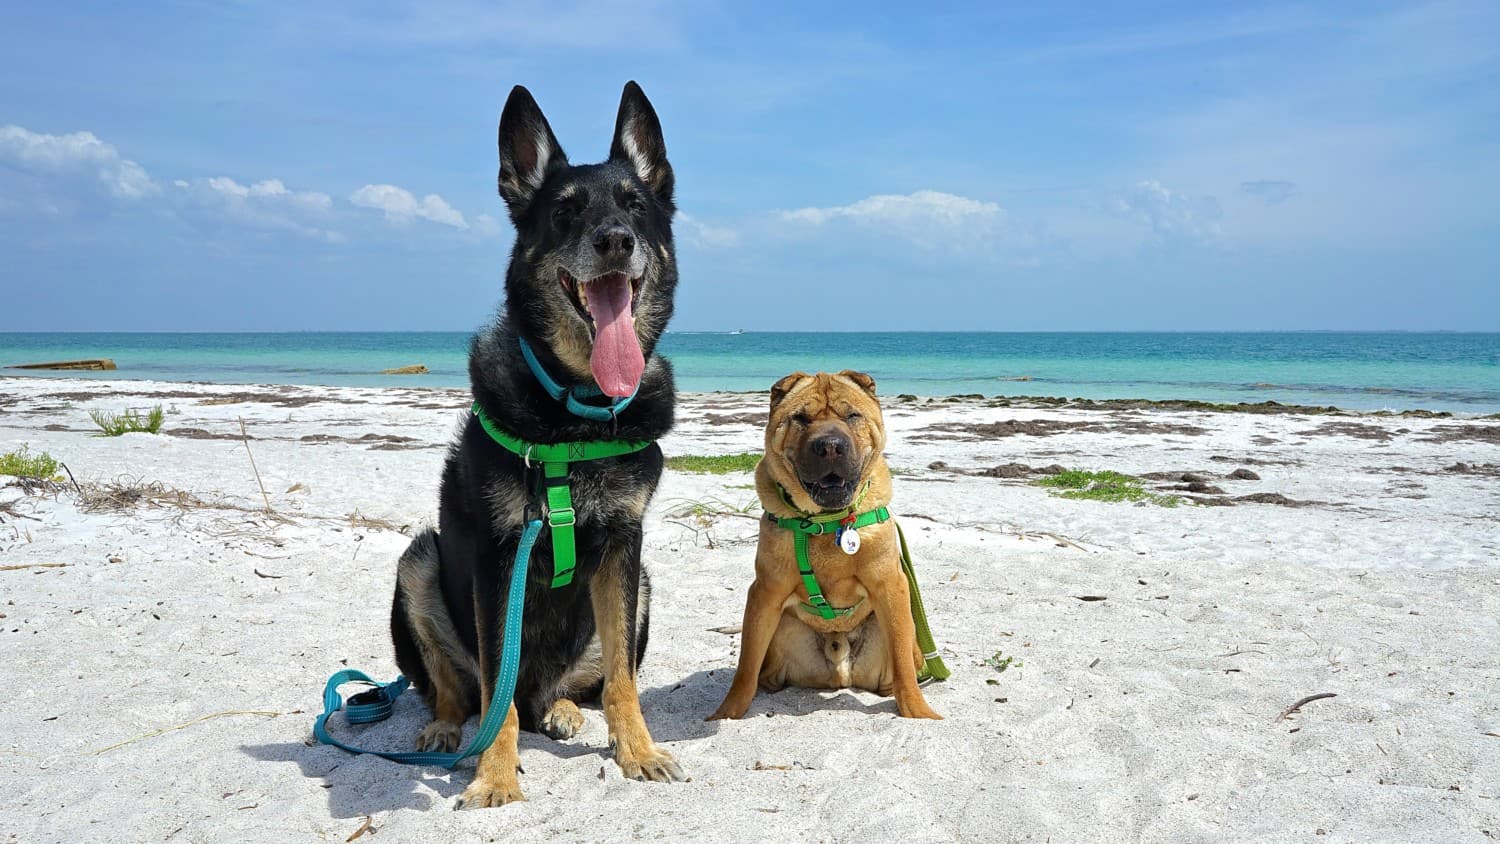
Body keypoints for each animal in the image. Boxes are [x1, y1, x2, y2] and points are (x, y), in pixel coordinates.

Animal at [390, 82, 687, 809]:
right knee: (463, 692)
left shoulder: (624, 546)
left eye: (635, 205)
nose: (617, 241)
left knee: (566, 686)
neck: (574, 411)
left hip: (639, 583)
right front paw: (494, 775)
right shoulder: (500, 558)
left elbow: (623, 680)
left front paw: (637, 752)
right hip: (418, 563)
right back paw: (448, 730)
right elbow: (494, 690)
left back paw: (561, 709)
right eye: (565, 211)